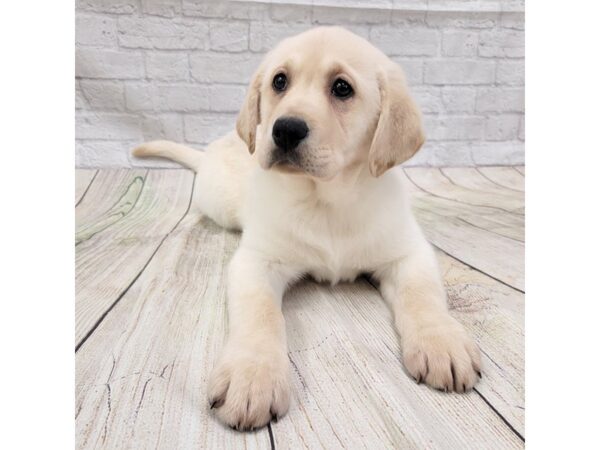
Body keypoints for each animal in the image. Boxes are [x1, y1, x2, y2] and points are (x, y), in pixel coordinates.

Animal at [134, 26, 480, 430]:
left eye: (342, 88)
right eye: (279, 81)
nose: (285, 129)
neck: (326, 201)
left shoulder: (408, 252)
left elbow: (422, 294)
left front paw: (442, 341)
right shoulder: (256, 262)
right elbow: (261, 314)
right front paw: (252, 375)